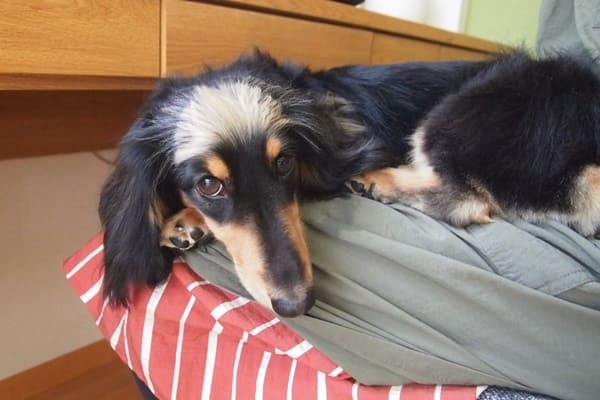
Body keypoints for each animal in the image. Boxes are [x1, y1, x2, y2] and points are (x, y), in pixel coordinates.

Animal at [99, 51, 600, 317]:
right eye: (208, 185)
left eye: (285, 164)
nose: (296, 305)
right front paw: (185, 218)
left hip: (465, 107)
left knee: (466, 199)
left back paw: (379, 182)